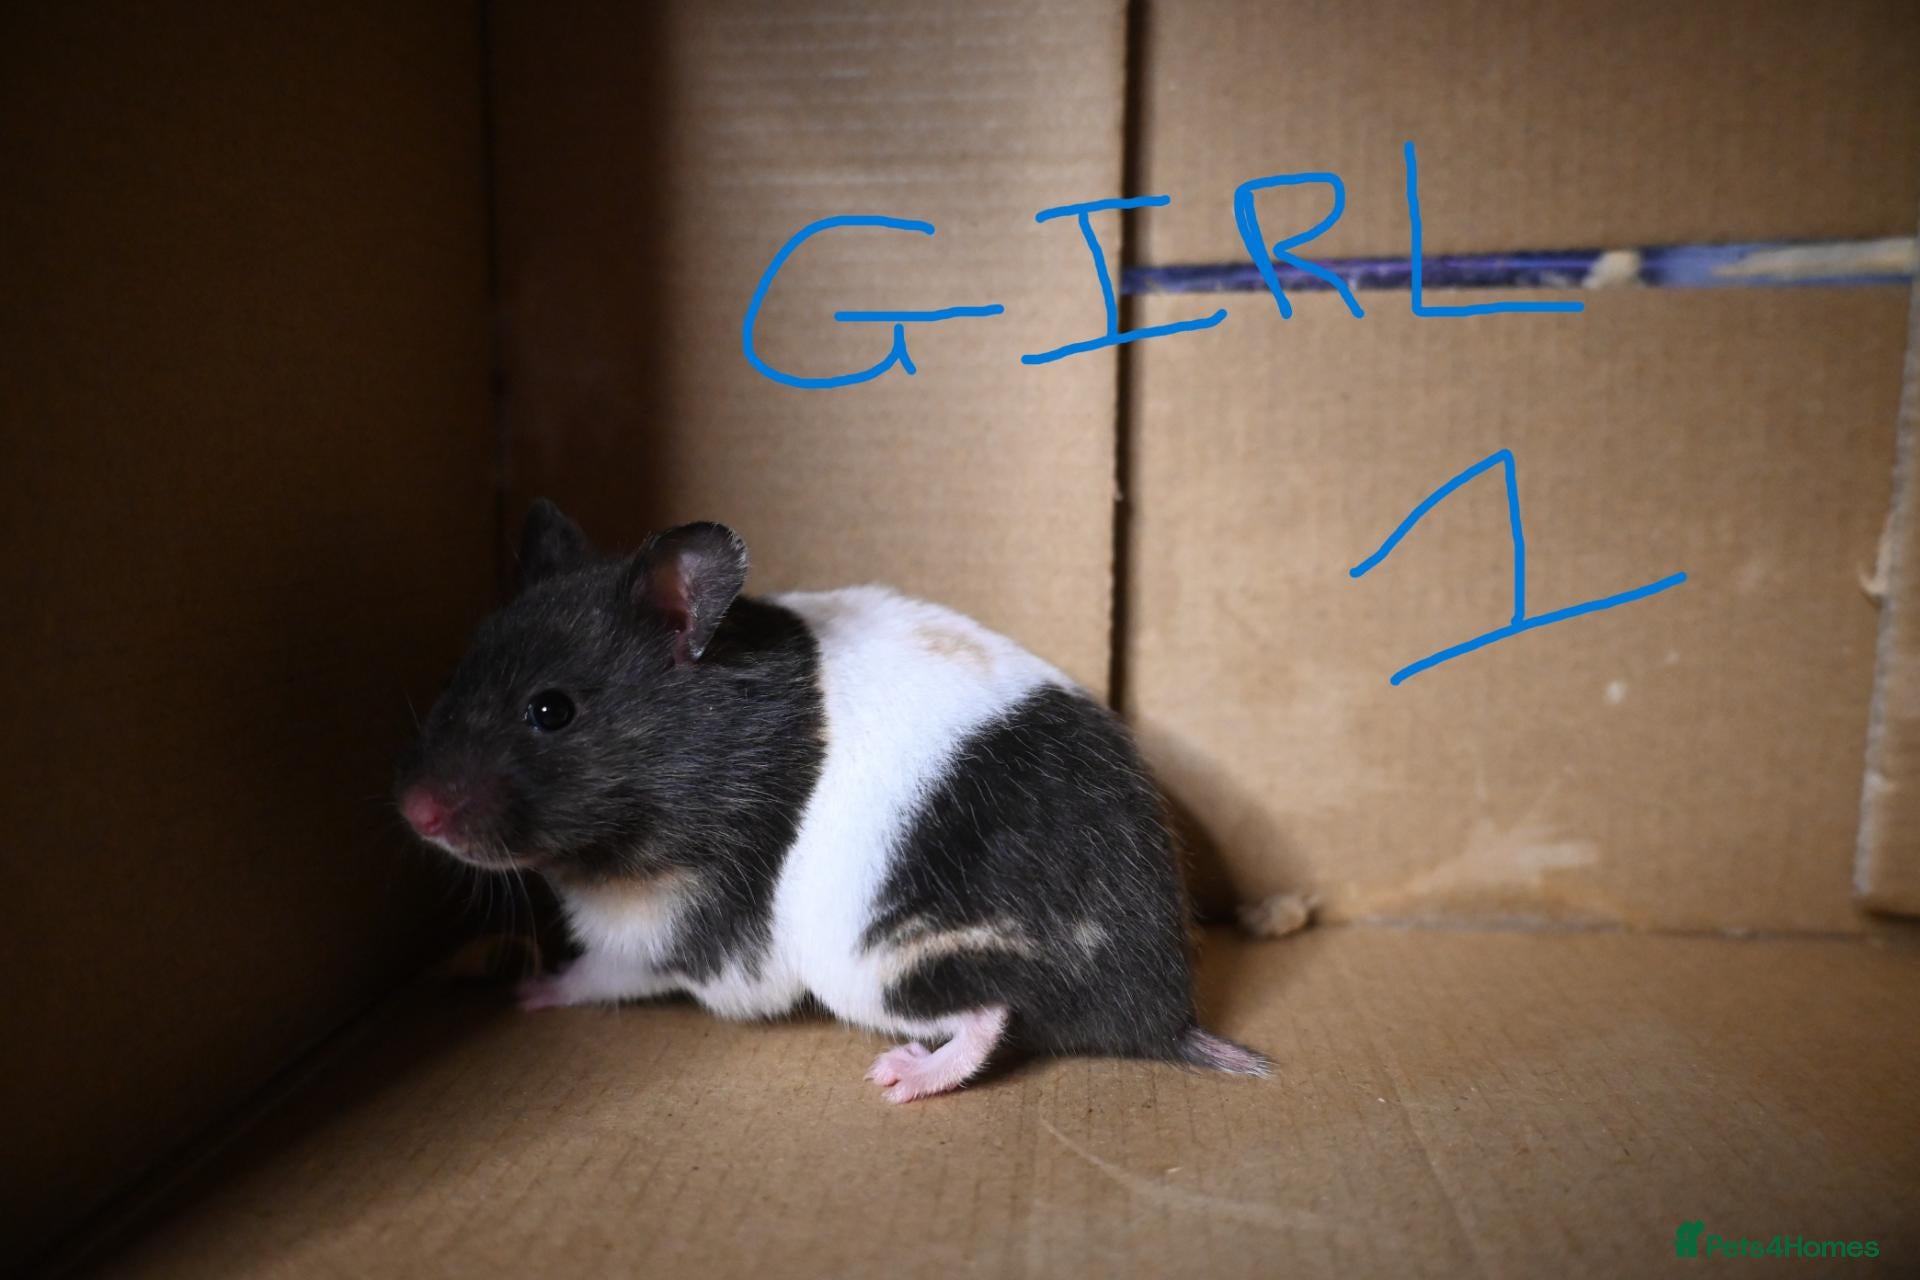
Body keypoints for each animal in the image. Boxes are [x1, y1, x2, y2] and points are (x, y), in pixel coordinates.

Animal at [397, 500, 1267, 1102]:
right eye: (452, 675)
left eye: (551, 711)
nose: (412, 814)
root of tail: (1166, 1017)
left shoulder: (680, 934)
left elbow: (601, 973)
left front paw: (528, 993)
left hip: (887, 964)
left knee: (992, 1014)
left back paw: (901, 1077)